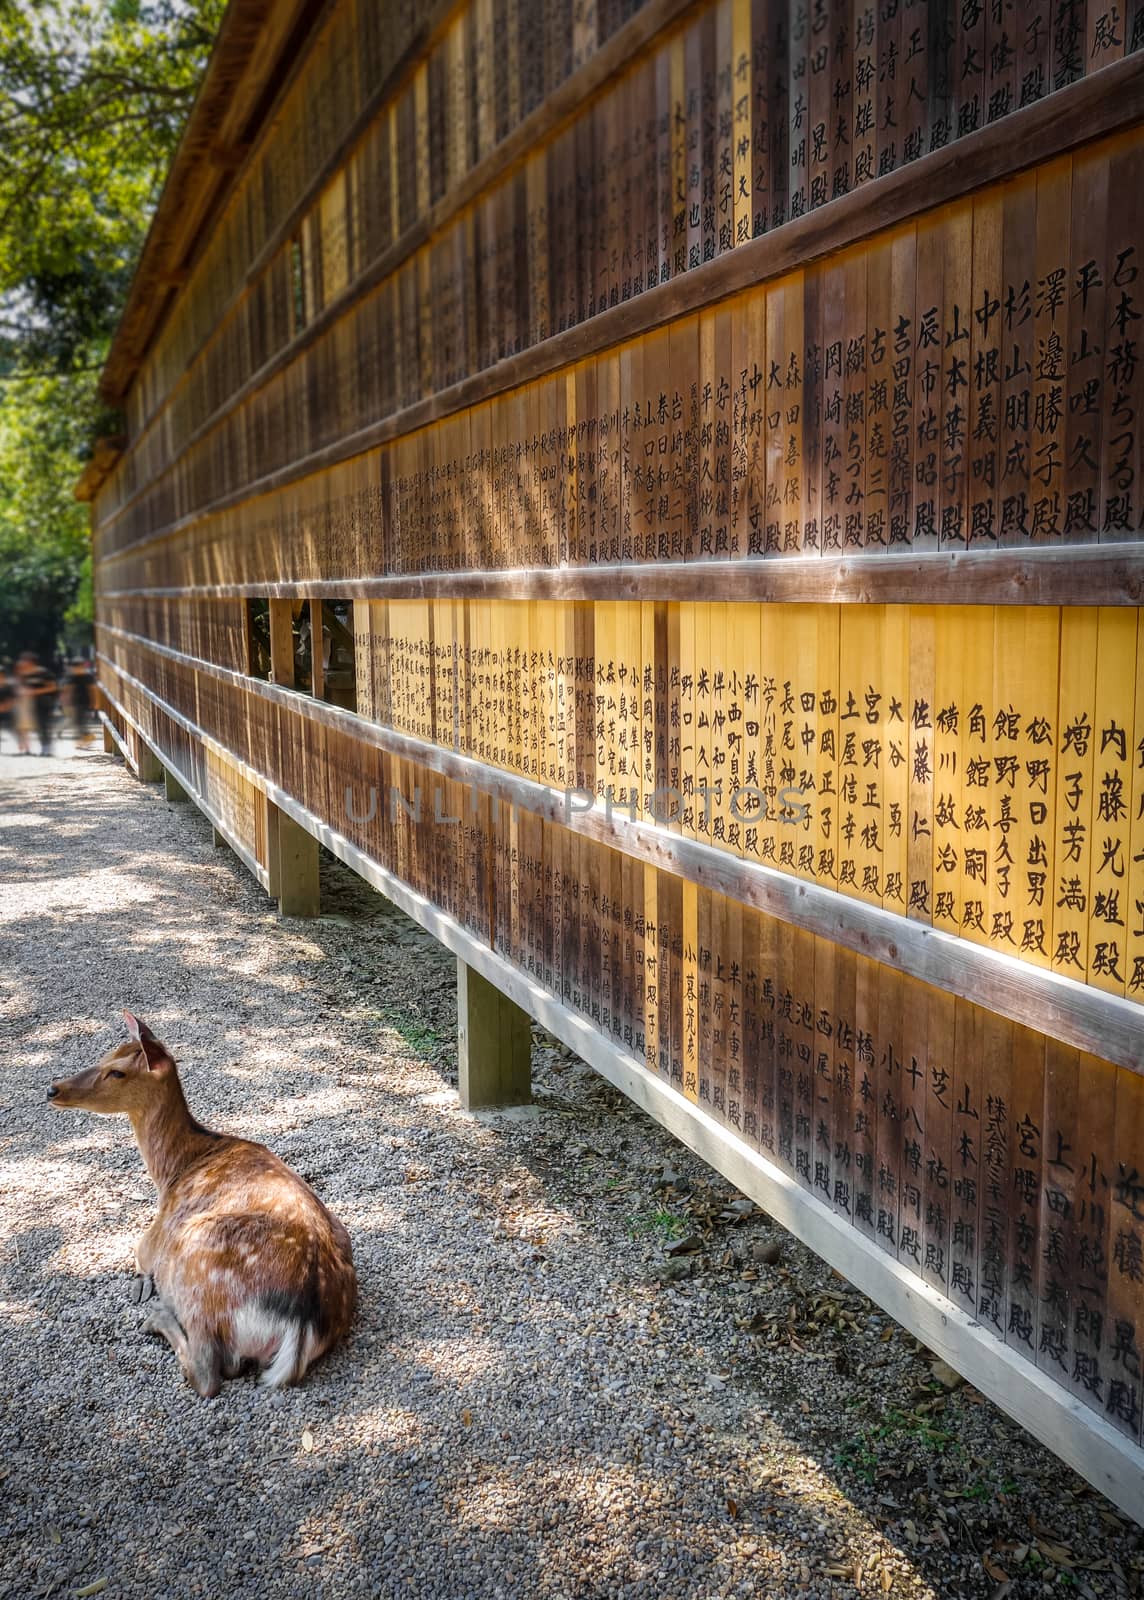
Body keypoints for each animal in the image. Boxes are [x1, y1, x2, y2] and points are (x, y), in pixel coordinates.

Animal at [45, 1011, 353, 1401]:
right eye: (105, 1054)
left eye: (117, 1072)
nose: (54, 1089)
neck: (173, 1171)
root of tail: (302, 1321)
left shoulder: (152, 1239)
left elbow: (138, 1255)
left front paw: (142, 1286)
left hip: (197, 1269)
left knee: (209, 1373)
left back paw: (158, 1316)